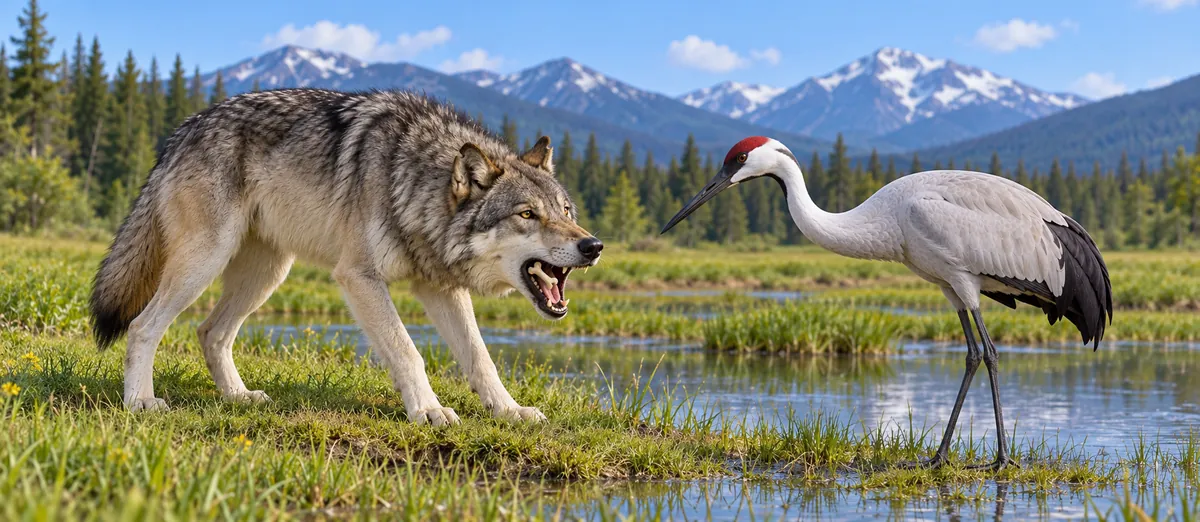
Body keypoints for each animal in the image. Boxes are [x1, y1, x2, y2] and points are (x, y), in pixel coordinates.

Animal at [89, 88, 603, 425]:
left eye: (565, 211)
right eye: (527, 214)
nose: (593, 246)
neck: (411, 179)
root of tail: (180, 132)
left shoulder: (440, 287)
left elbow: (481, 358)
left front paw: (510, 411)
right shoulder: (359, 277)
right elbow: (408, 351)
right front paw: (429, 410)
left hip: (267, 274)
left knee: (210, 332)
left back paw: (237, 397)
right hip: (205, 261)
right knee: (144, 326)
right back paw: (140, 402)